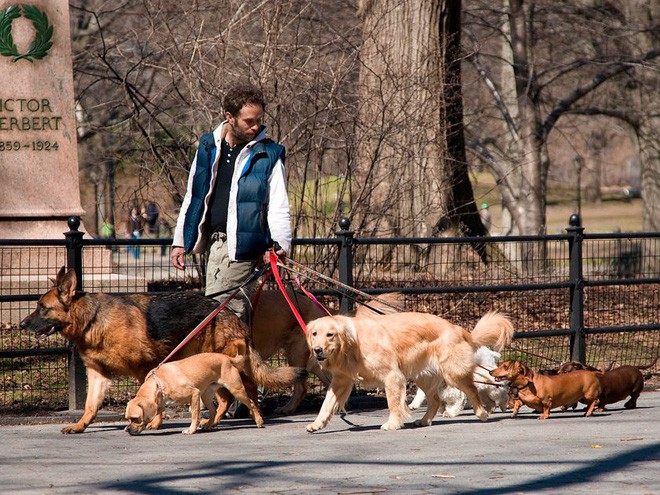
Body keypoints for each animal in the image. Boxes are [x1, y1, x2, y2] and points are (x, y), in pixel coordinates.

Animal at [126, 342, 266, 436]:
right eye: (127, 418)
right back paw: (209, 425)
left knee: (251, 403)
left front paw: (191, 429)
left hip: (236, 391)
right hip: (206, 395)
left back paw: (259, 421)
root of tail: (227, 358)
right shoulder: (161, 403)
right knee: (214, 411)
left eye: (135, 418)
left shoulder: (194, 394)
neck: (160, 382)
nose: (127, 429)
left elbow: (194, 415)